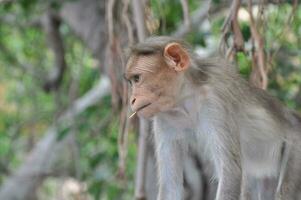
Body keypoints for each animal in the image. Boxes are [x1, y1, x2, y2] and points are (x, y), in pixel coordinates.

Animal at [123, 36, 300, 200]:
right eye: (131, 81)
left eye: (137, 78)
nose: (132, 99)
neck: (185, 100)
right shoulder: (164, 118)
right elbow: (170, 187)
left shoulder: (216, 101)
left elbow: (230, 173)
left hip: (295, 146)